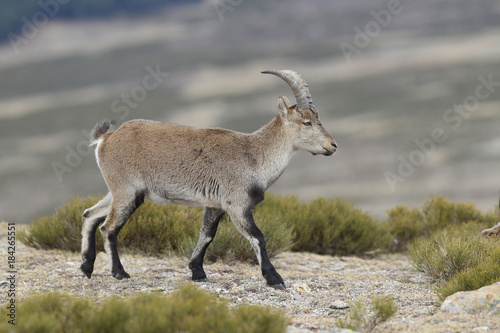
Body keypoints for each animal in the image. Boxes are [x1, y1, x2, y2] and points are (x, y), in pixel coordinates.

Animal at [81, 70, 336, 288]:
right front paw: (274, 279)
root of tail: (106, 138)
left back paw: (86, 267)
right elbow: (258, 237)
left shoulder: (215, 205)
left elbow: (206, 235)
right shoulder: (237, 205)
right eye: (307, 122)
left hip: (118, 190)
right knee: (108, 228)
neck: (253, 155)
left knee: (89, 215)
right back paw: (119, 272)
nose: (332, 145)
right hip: (127, 191)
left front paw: (197, 272)